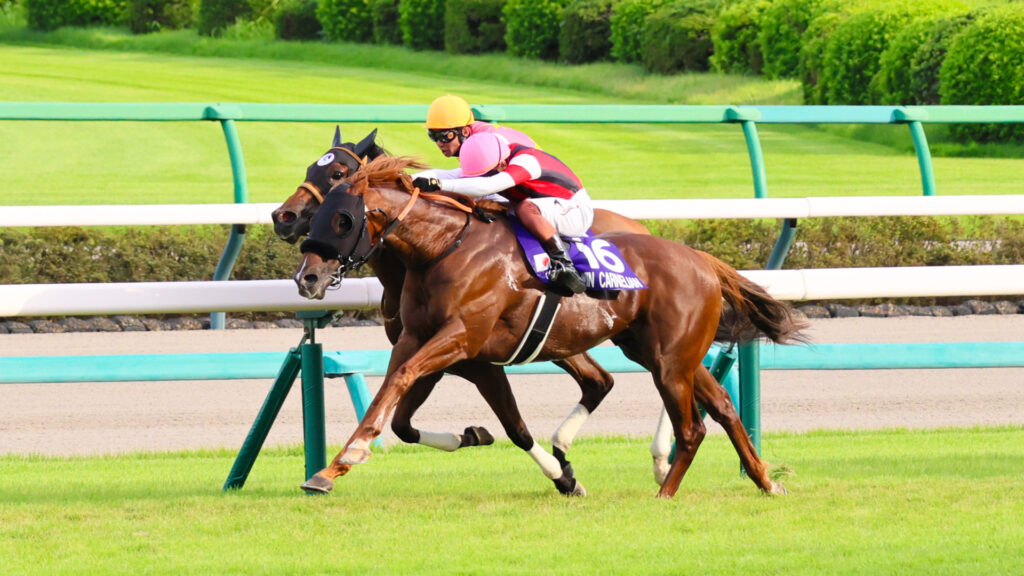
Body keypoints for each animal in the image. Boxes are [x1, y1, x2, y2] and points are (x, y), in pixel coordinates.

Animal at [278, 131, 788, 494]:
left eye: (342, 214)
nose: (307, 275)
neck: (439, 249)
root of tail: (700, 258)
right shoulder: (426, 344)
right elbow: (400, 410)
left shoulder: (464, 345)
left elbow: (505, 422)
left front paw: (349, 457)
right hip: (649, 347)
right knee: (716, 404)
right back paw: (763, 479)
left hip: (664, 355)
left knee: (685, 415)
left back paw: (665, 478)